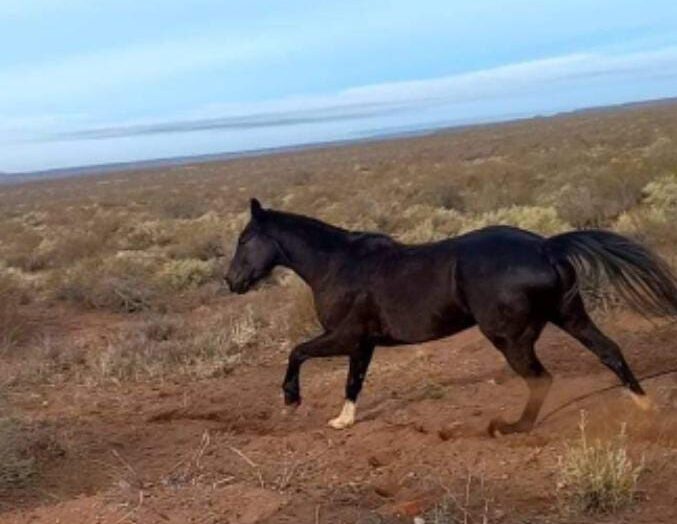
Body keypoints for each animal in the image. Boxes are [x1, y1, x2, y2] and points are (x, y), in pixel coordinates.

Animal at [226, 200, 676, 434]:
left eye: (244, 239)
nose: (232, 281)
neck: (337, 264)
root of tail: (545, 246)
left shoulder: (344, 336)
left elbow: (297, 351)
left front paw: (292, 399)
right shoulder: (363, 344)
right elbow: (353, 381)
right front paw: (343, 420)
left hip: (510, 337)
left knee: (541, 379)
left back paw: (511, 427)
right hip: (570, 315)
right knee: (609, 351)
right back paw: (645, 407)